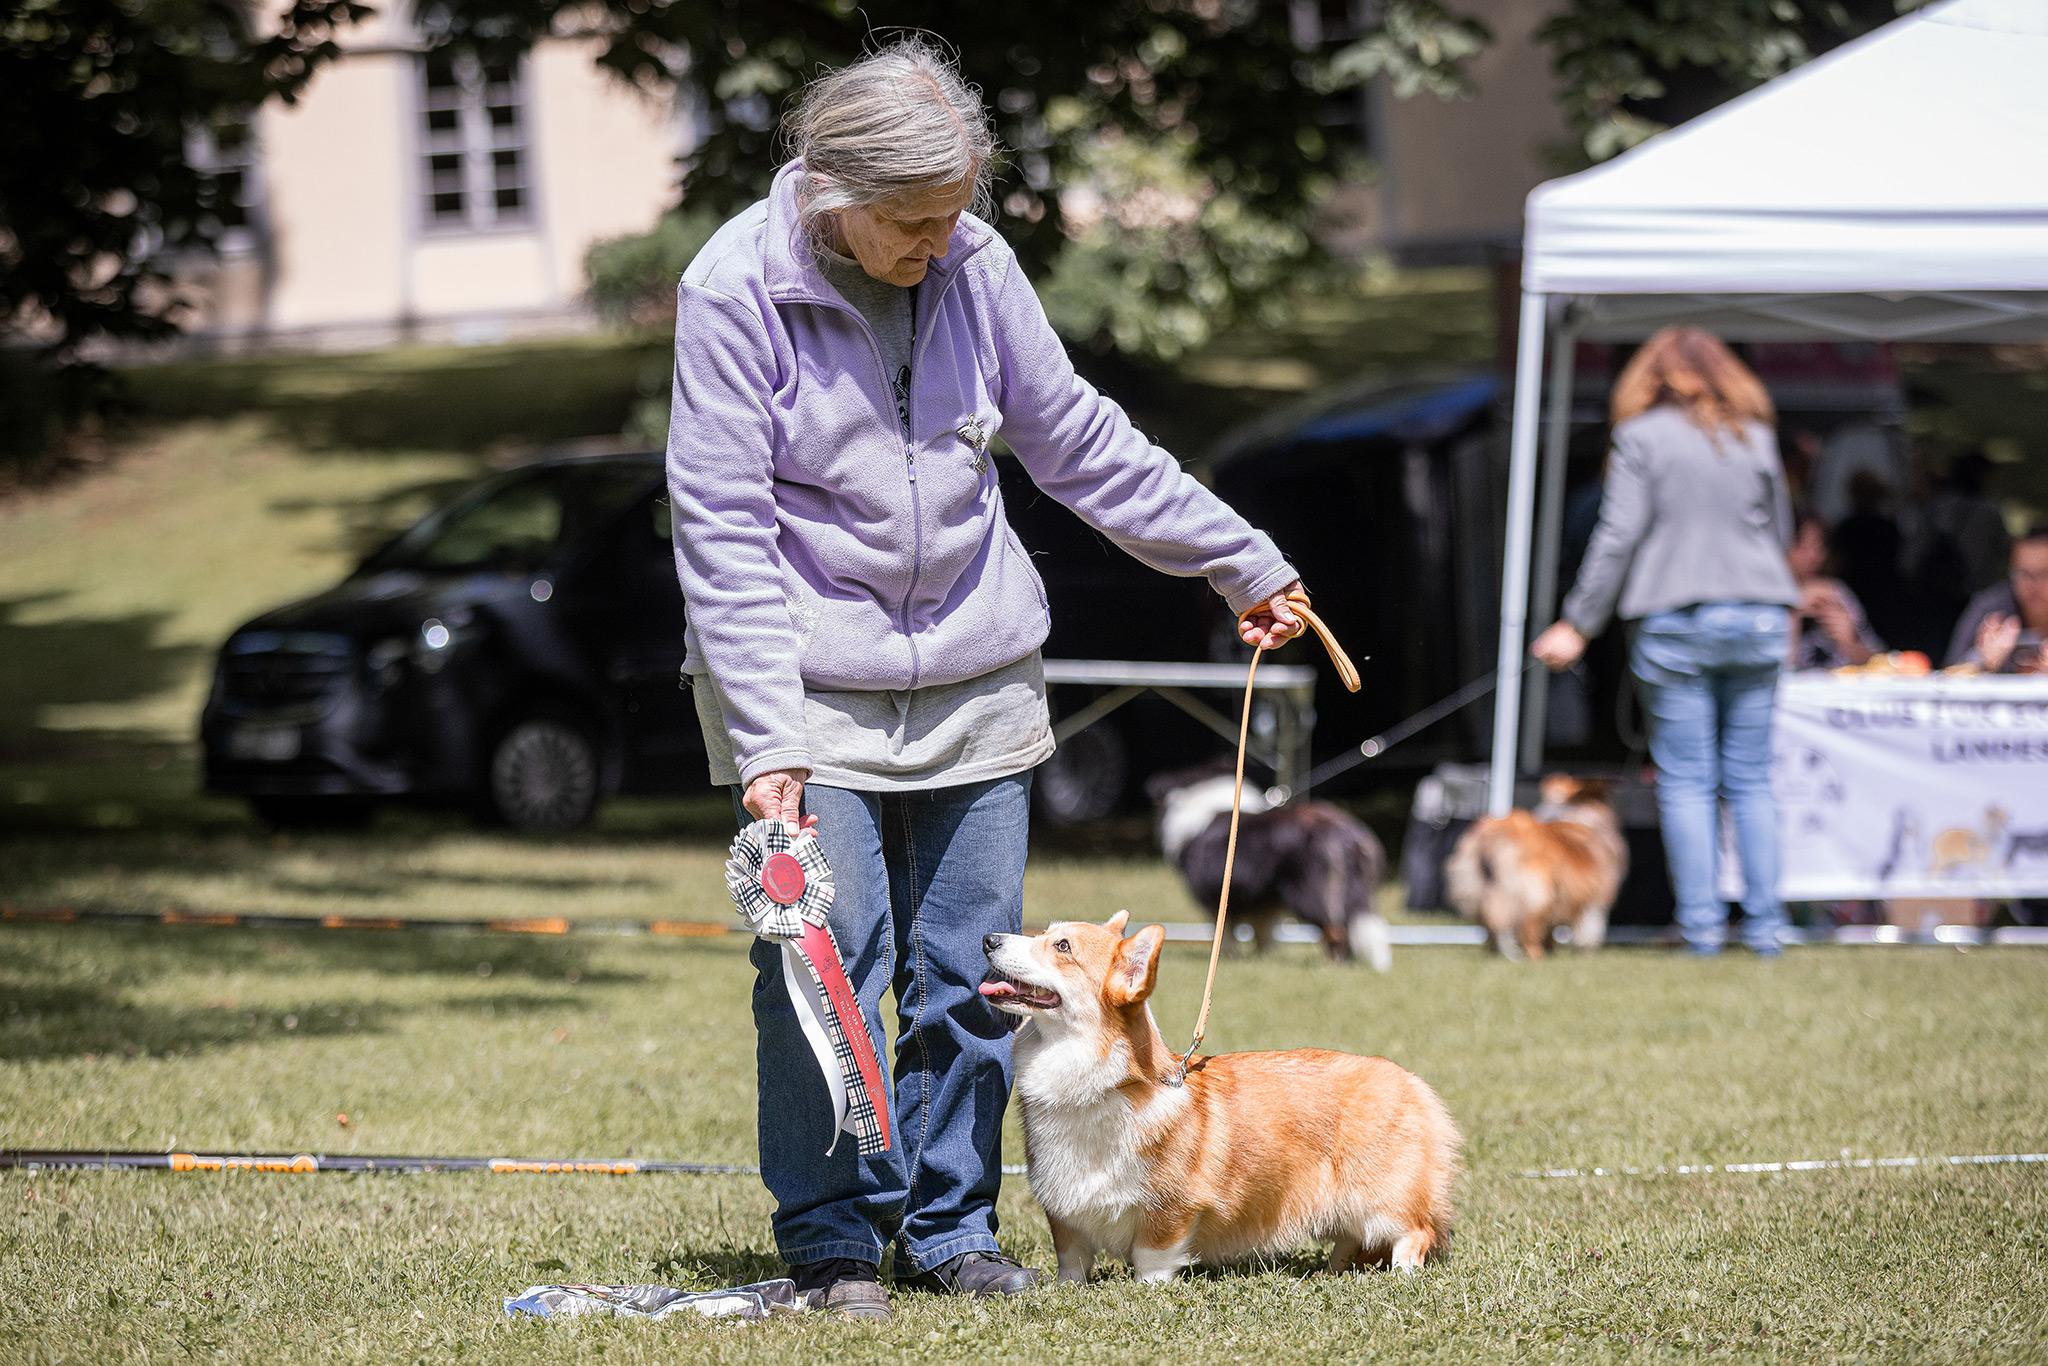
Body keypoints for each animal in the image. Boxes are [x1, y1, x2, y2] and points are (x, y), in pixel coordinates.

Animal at [987, 917, 1458, 1286]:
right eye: (1045, 933)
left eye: (1062, 946)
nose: (989, 940)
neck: (1101, 1081)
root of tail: (1411, 1082)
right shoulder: (1064, 1210)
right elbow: (1072, 1259)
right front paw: (1067, 1289)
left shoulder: (1171, 1209)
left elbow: (1152, 1255)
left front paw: (1146, 1290)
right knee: (1350, 1239)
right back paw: (1332, 1271)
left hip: (1379, 1197)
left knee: (1414, 1232)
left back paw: (1401, 1274)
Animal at [1449, 774, 1622, 966]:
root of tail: (1496, 832)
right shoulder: (1597, 898)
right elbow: (1589, 929)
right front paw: (1584, 953)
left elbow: (1551, 931)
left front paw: (1552, 951)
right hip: (1537, 894)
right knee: (1527, 929)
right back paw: (1535, 958)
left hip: (1478, 888)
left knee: (1491, 923)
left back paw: (1495, 956)